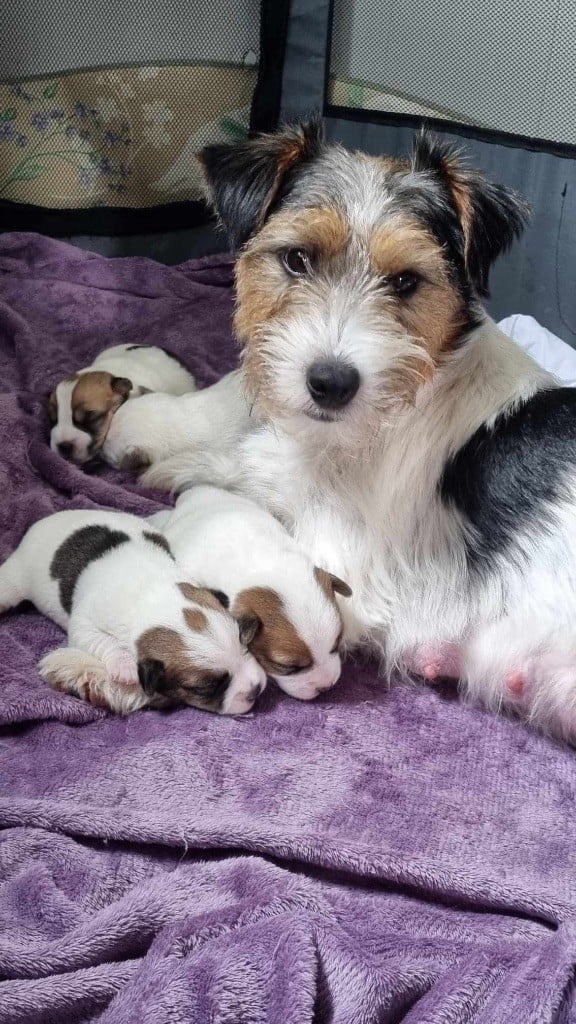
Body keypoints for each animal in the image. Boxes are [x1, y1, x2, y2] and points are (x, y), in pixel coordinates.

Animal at [0, 509, 264, 716]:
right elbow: (97, 638)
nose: (257, 690)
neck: (154, 594)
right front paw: (125, 665)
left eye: (245, 646)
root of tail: (40, 523)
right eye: (205, 688)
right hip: (15, 578)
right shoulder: (86, 621)